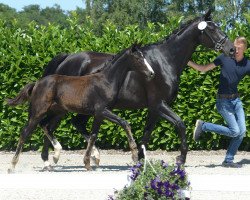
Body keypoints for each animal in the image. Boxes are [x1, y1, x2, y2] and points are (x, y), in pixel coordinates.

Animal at [6, 44, 154, 172]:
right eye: (138, 58)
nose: (152, 73)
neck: (105, 81)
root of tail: (37, 83)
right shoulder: (102, 110)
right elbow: (124, 123)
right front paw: (134, 155)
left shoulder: (99, 115)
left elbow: (93, 136)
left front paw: (88, 162)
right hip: (38, 112)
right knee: (25, 132)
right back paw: (12, 166)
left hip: (56, 111)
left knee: (45, 126)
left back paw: (52, 159)